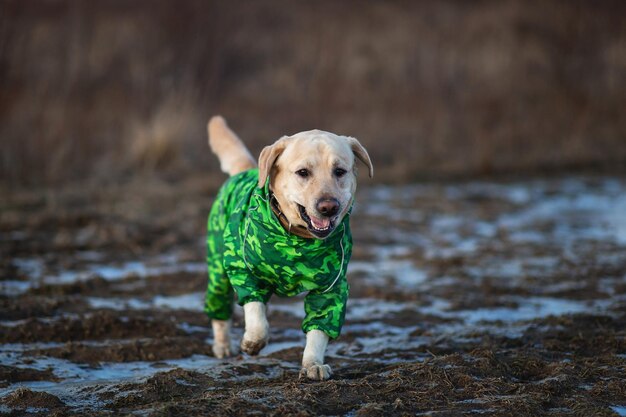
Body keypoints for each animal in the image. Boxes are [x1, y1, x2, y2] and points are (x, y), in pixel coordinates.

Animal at [205, 115, 370, 378]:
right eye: (303, 172)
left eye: (340, 171)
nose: (328, 207)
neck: (298, 240)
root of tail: (247, 169)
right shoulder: (242, 268)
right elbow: (256, 315)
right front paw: (252, 342)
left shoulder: (332, 288)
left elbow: (318, 332)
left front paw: (313, 365)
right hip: (218, 268)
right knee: (220, 310)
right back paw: (223, 346)